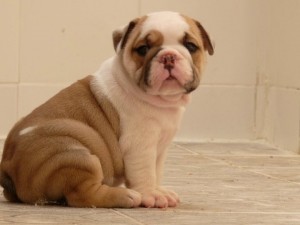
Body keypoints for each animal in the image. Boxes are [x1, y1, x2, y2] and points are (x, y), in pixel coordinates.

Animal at [1, 10, 214, 207]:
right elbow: (145, 172)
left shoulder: (160, 149)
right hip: (75, 155)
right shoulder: (140, 145)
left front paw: (159, 190)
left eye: (191, 46)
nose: (168, 56)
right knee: (83, 195)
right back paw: (125, 196)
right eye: (143, 49)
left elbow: (156, 171)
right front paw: (151, 195)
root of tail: (7, 166)